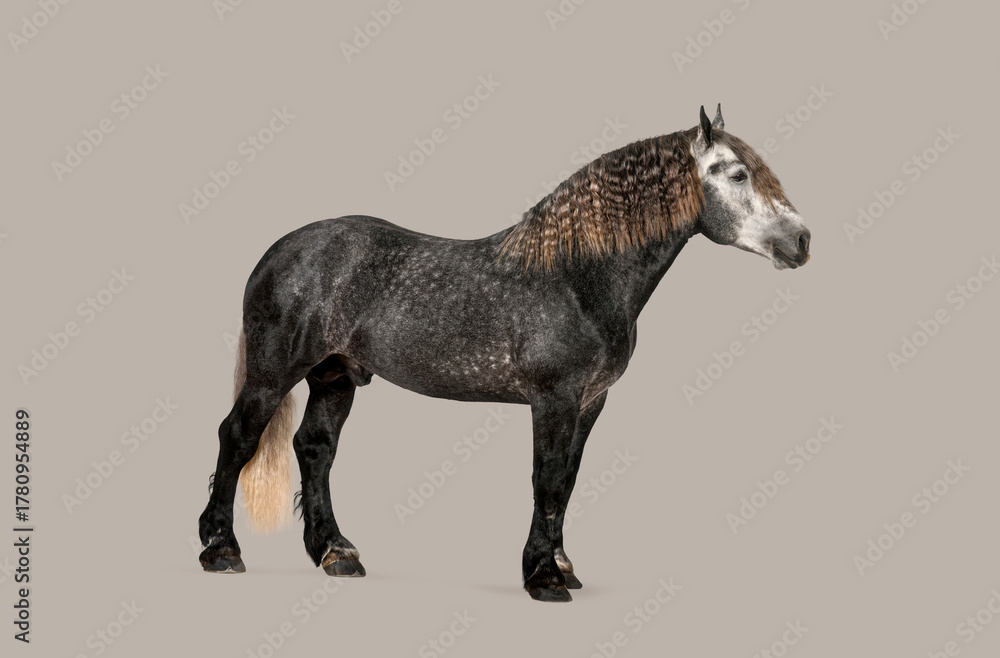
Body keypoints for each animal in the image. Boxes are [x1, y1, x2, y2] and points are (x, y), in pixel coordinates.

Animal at [198, 105, 811, 602]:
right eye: (737, 173)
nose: (801, 240)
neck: (577, 277)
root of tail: (282, 249)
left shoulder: (591, 402)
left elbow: (568, 480)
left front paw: (563, 565)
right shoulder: (554, 399)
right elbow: (546, 478)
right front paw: (543, 578)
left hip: (335, 377)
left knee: (315, 448)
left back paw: (336, 553)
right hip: (275, 372)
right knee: (239, 437)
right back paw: (221, 550)